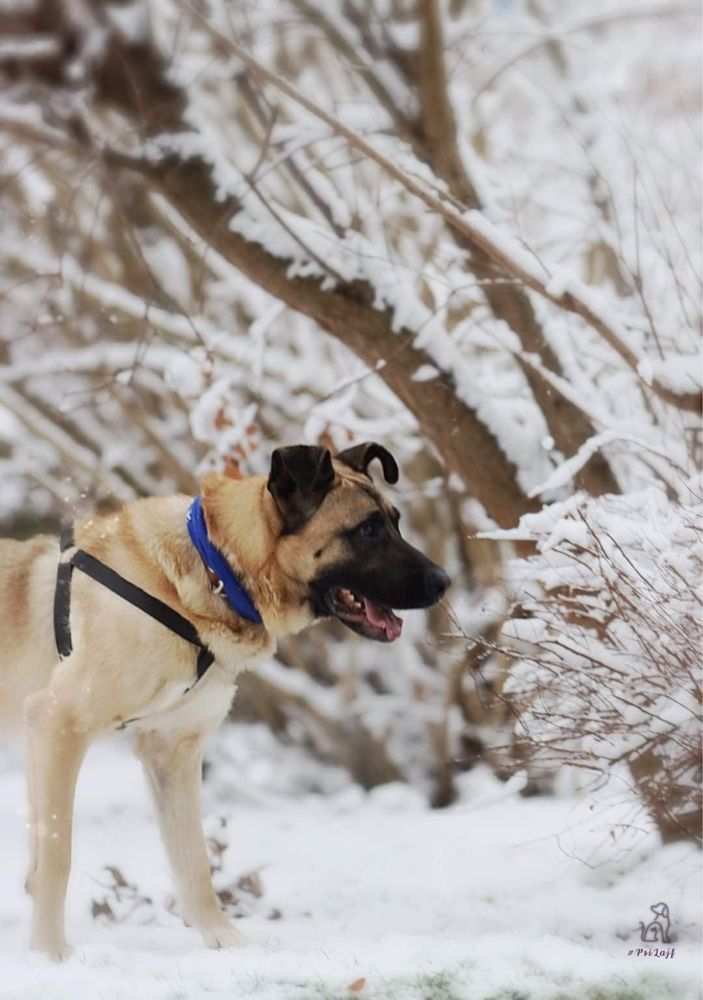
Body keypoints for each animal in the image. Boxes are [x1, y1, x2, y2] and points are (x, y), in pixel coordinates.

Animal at [0, 446, 452, 960]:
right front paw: (50, 954)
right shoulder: (58, 724)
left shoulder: (170, 751)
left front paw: (224, 941)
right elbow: (56, 856)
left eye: (395, 522)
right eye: (369, 530)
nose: (444, 581)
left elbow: (193, 860)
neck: (215, 569)